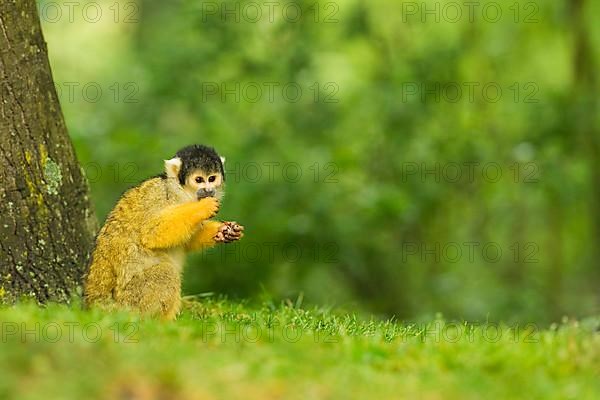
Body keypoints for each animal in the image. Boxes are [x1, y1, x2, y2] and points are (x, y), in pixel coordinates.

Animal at [84, 145, 244, 320]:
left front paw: (223, 231)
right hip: (129, 304)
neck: (181, 193)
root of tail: (97, 305)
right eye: (199, 180)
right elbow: (152, 233)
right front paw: (204, 208)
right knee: (166, 272)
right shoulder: (159, 195)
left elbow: (187, 241)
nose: (209, 190)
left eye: (212, 178)